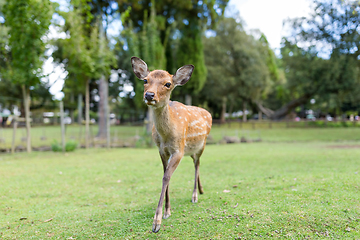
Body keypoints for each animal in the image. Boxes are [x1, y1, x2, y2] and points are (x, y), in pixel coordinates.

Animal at [131, 56, 211, 232]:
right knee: (196, 163)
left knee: (197, 164)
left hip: (202, 144)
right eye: (145, 80)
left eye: (168, 84)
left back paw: (195, 195)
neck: (166, 136)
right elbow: (164, 174)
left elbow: (166, 176)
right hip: (191, 149)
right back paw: (201, 190)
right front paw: (167, 211)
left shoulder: (178, 150)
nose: (149, 95)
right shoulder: (161, 150)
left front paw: (157, 222)